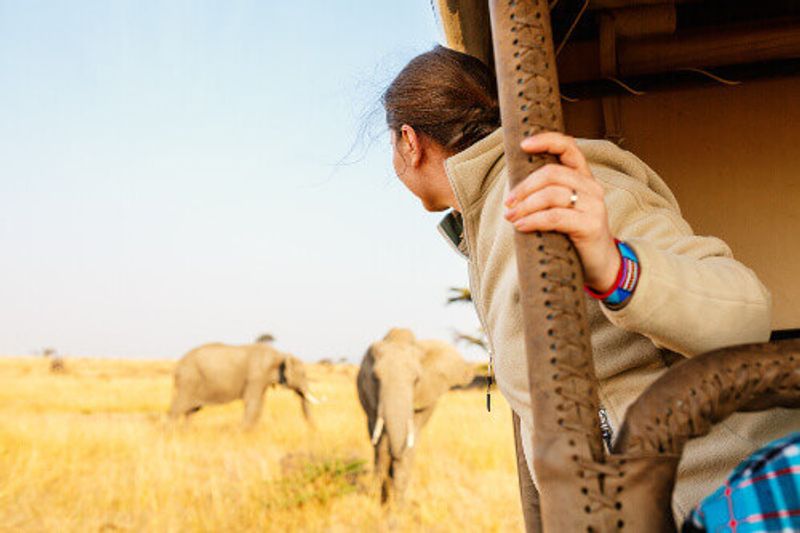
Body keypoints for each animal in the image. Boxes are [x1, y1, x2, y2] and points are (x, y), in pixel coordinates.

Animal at [170, 344, 318, 428]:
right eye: (303, 374)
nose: (313, 429)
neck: (279, 355)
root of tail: (178, 365)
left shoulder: (261, 380)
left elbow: (259, 405)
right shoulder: (256, 375)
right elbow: (252, 403)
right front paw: (242, 432)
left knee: (191, 411)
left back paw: (186, 432)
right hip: (188, 380)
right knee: (177, 409)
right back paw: (170, 432)